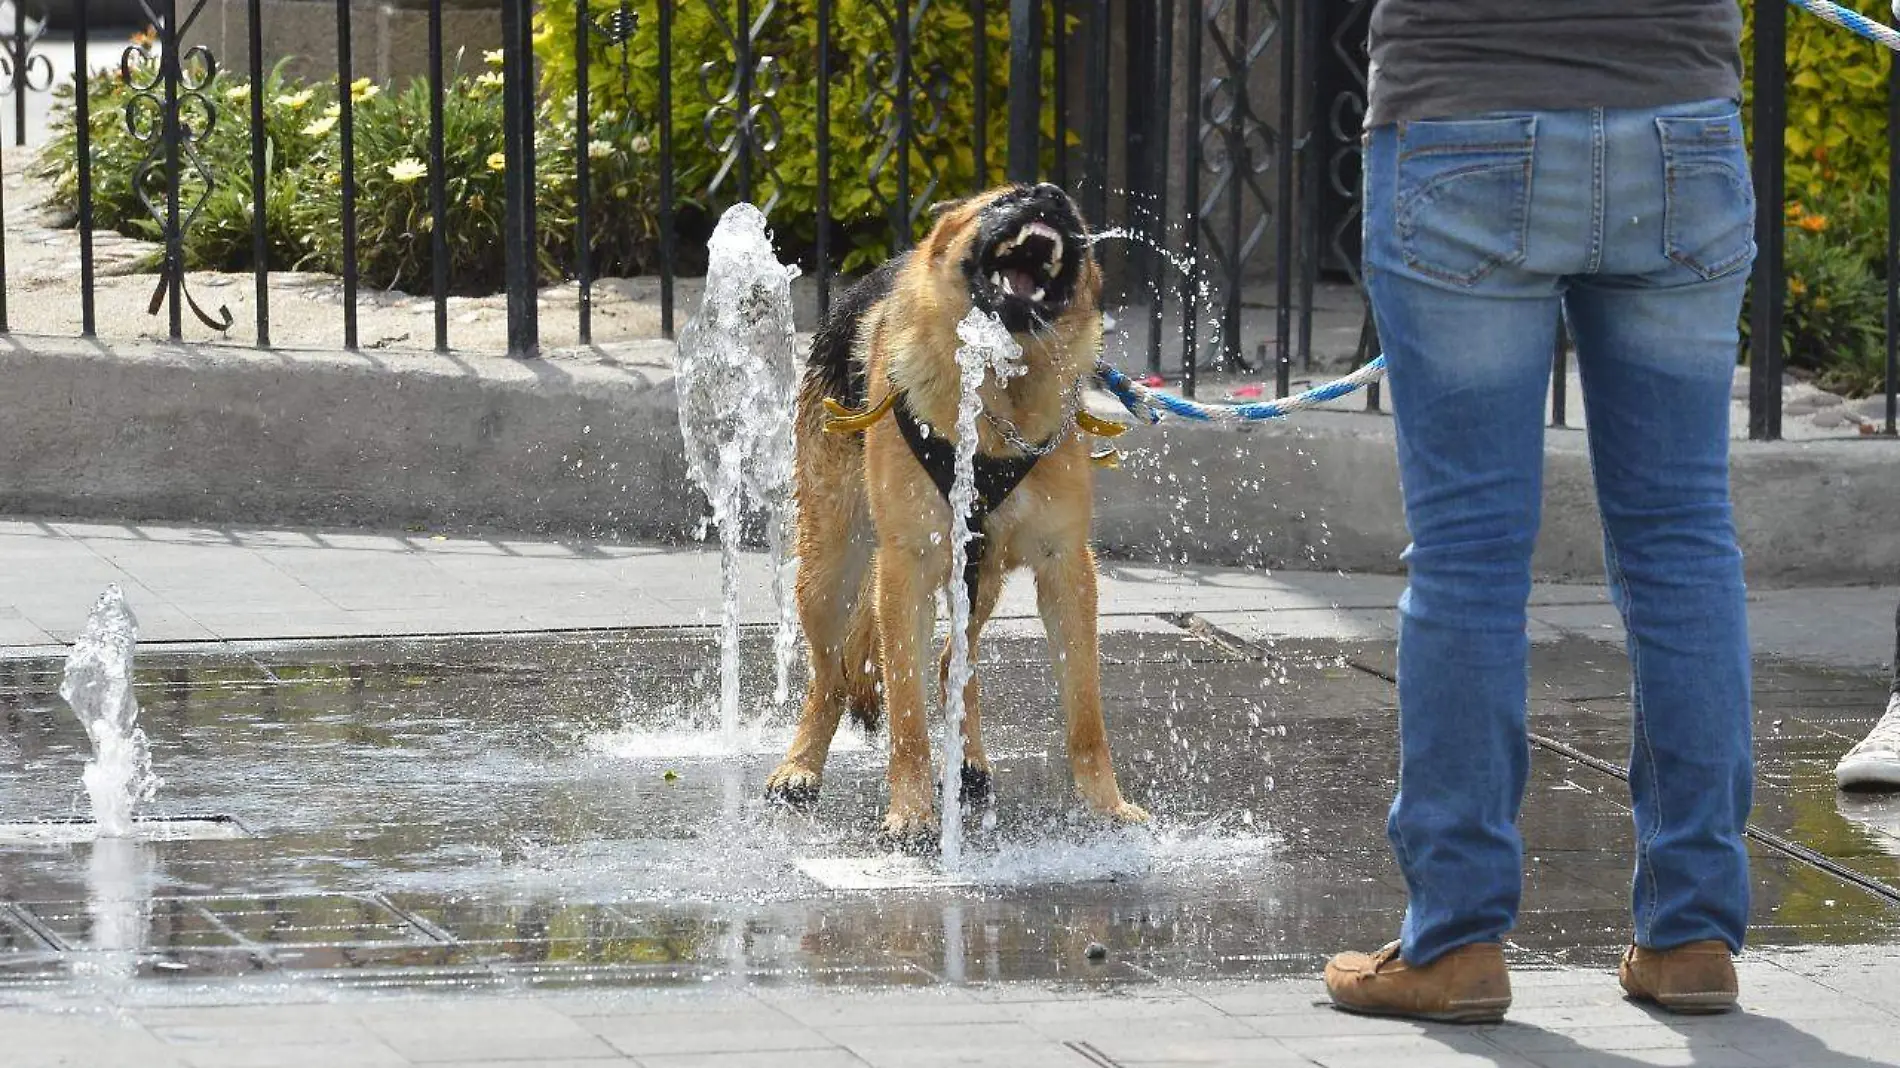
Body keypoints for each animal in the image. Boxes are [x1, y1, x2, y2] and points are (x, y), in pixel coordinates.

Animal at [763, 182, 1147, 839]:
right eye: (1006, 200)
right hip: (829, 575)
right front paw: (912, 812)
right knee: (832, 676)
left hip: (980, 576)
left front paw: (1106, 807)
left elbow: (1085, 714)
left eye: (1073, 214)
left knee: (948, 664)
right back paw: (801, 769)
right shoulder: (907, 566)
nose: (1051, 195)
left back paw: (968, 764)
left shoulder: (1066, 569)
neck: (996, 396)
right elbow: (906, 714)